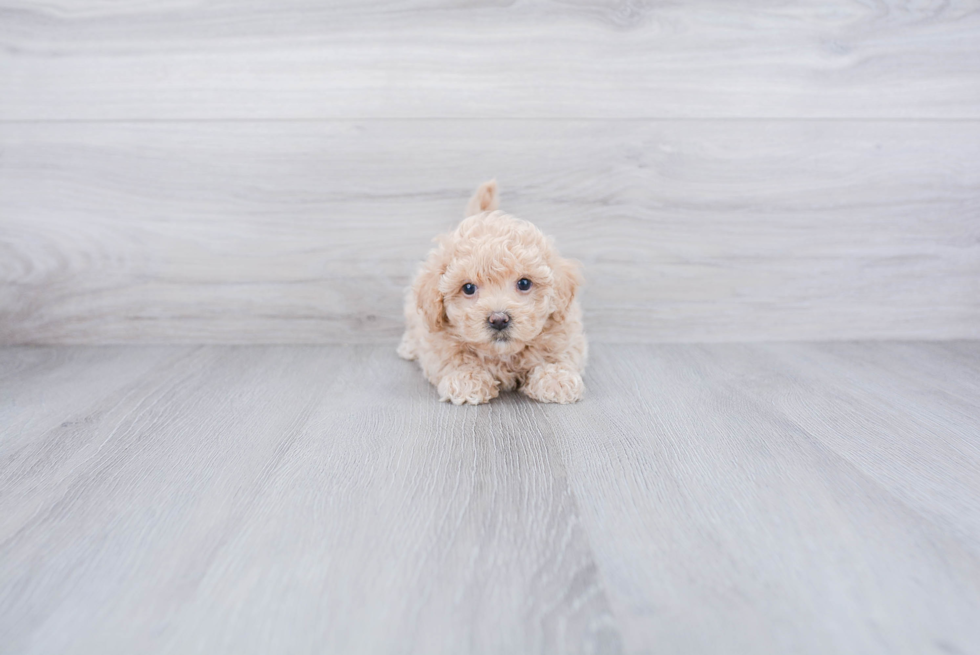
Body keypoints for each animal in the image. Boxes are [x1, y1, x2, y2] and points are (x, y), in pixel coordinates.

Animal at [400, 179, 584, 404]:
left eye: (524, 283)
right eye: (468, 288)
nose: (498, 319)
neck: (502, 355)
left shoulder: (566, 330)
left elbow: (560, 353)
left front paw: (555, 378)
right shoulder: (437, 342)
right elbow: (452, 357)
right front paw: (466, 379)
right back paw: (409, 345)